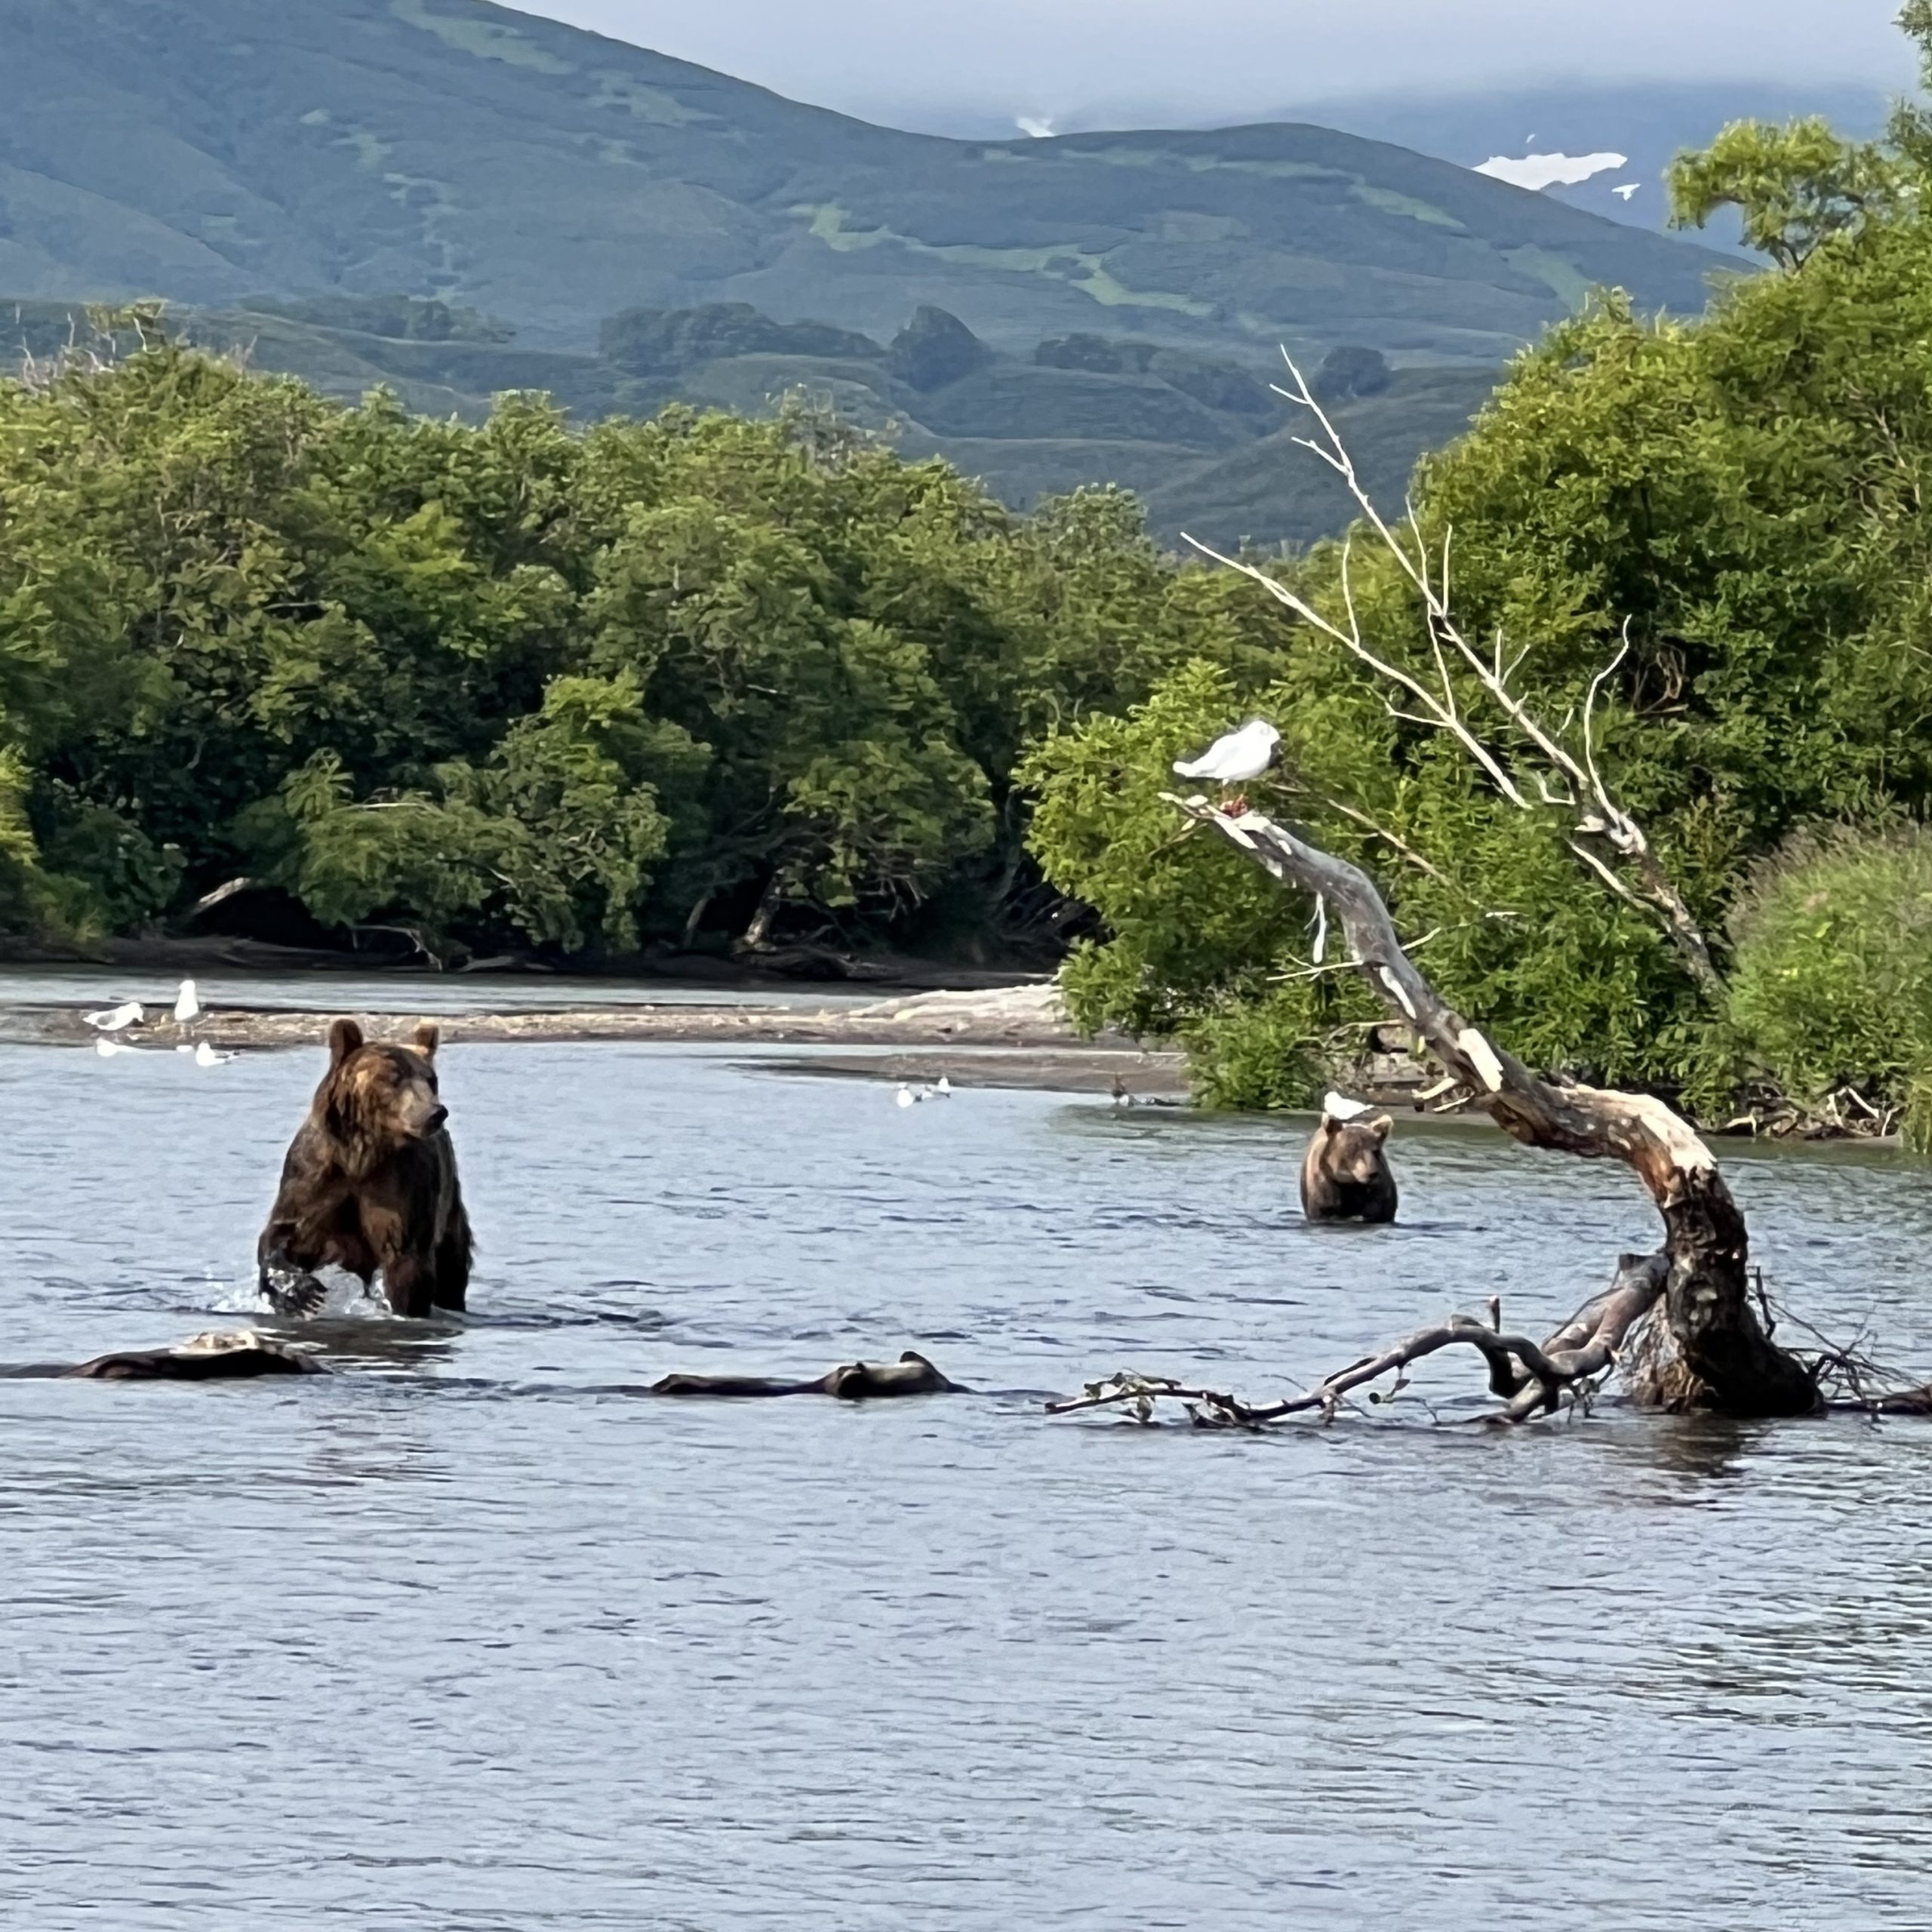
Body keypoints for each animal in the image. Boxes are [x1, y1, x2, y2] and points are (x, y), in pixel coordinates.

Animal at [257, 1020, 475, 1321]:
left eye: (431, 1079)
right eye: (394, 1077)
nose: (435, 1113)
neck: (361, 1158)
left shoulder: (400, 1190)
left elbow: (408, 1262)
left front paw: (404, 1312)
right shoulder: (313, 1179)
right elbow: (284, 1235)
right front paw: (299, 1292)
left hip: (449, 1209)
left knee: (452, 1270)